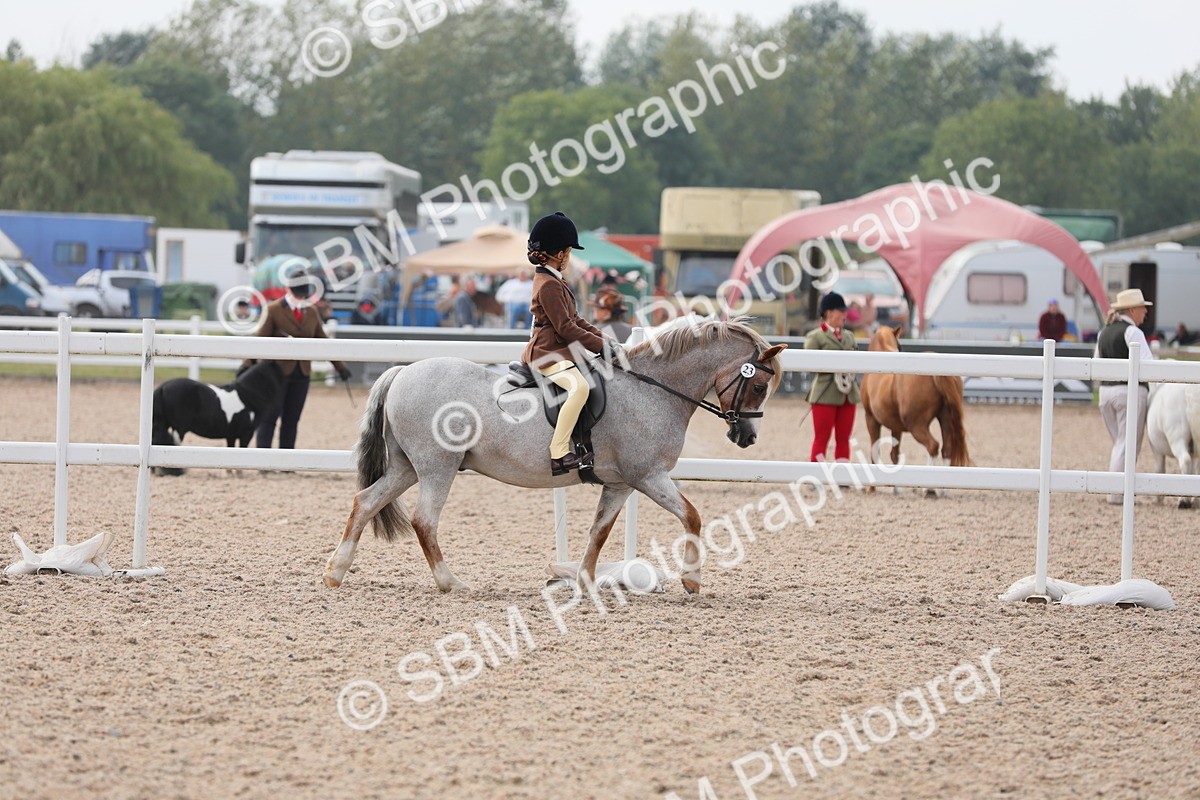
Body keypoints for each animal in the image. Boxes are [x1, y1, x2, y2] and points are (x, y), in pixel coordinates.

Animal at [151, 360, 284, 475]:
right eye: (280, 369)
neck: (247, 396)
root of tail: (162, 387)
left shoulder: (231, 435)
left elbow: (231, 449)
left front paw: (230, 473)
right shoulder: (247, 433)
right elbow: (242, 449)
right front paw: (239, 473)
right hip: (178, 430)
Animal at [323, 317, 787, 594]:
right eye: (759, 385)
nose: (747, 437)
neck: (652, 389)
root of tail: (403, 371)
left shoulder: (620, 484)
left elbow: (599, 532)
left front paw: (584, 581)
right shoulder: (648, 476)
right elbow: (692, 516)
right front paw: (691, 580)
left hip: (407, 468)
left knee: (365, 502)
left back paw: (335, 572)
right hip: (438, 467)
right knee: (424, 521)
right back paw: (451, 582)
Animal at [860, 326, 970, 495]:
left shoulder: (871, 419)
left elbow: (875, 451)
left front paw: (872, 488)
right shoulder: (896, 427)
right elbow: (894, 455)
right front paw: (896, 489)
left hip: (916, 426)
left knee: (933, 446)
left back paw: (928, 489)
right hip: (945, 419)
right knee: (947, 449)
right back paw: (943, 489)